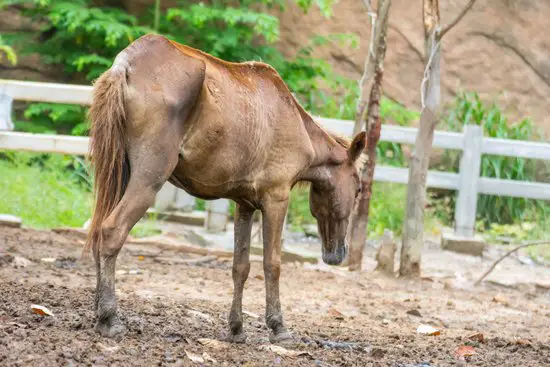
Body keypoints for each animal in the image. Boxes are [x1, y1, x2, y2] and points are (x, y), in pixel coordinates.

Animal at [86, 33, 366, 344]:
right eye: (357, 190)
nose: (337, 254)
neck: (297, 125)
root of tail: (125, 65)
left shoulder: (244, 204)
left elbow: (240, 267)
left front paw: (236, 328)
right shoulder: (276, 198)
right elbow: (272, 264)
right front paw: (278, 326)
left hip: (120, 174)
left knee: (97, 233)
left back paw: (98, 312)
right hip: (148, 179)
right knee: (112, 231)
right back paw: (110, 317)